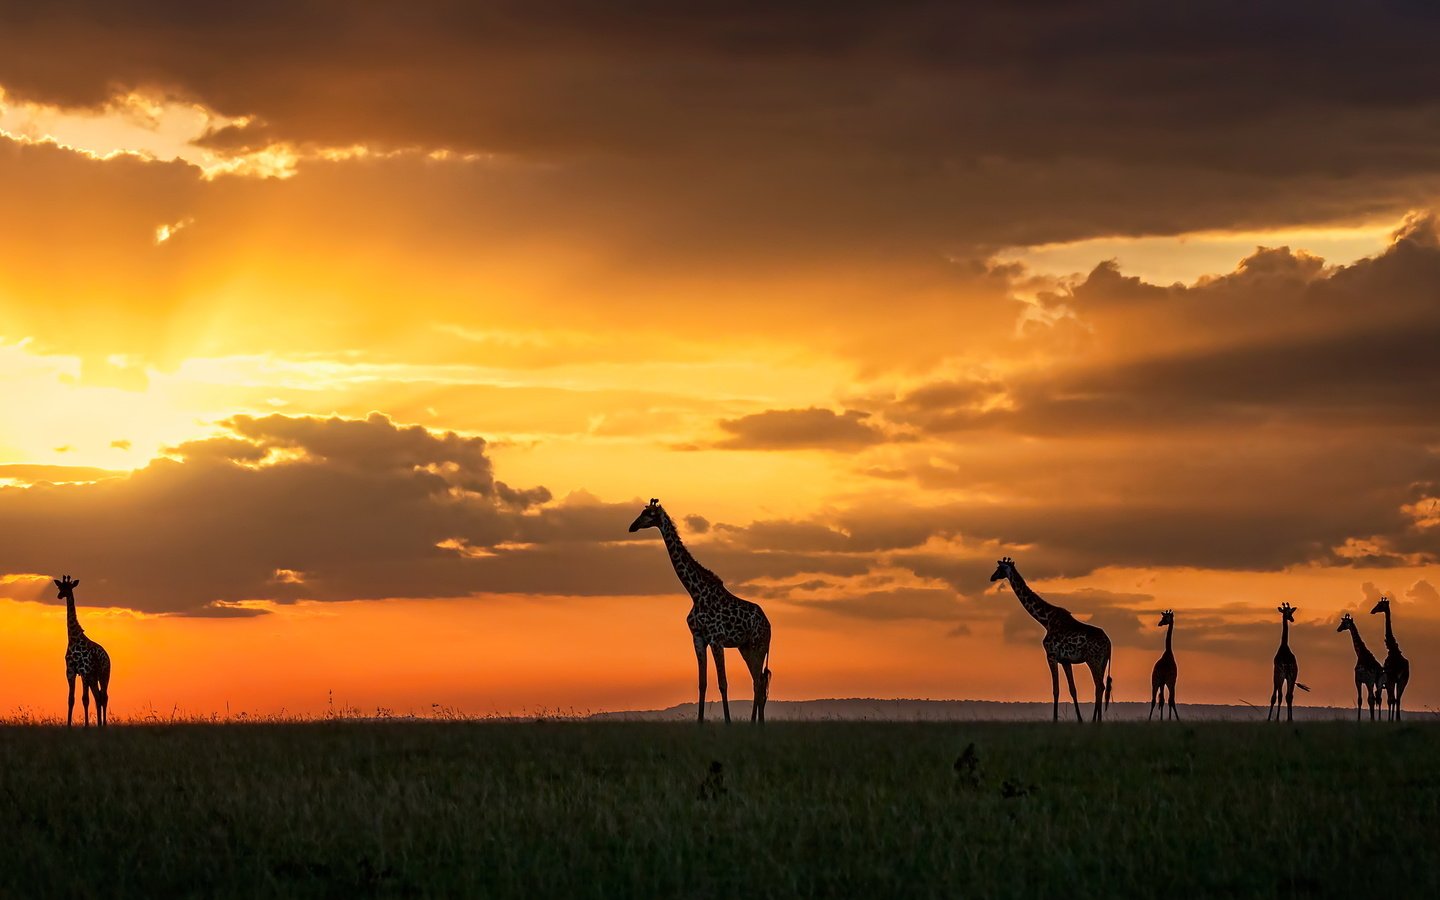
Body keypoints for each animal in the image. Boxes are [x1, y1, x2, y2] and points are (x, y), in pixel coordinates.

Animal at [54, 576, 110, 731]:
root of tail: (107, 656)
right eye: (60, 587)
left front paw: (86, 726)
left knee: (104, 696)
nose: (59, 596)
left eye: (69, 587)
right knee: (98, 696)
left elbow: (85, 699)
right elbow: (71, 699)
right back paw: (99, 724)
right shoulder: (70, 671)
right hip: (94, 677)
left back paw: (103, 724)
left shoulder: (84, 671)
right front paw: (68, 725)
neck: (73, 638)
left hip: (104, 675)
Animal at [624, 498, 771, 722]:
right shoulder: (698, 637)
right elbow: (702, 683)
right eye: (642, 512)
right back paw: (756, 724)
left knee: (759, 683)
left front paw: (728, 723)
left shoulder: (717, 639)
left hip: (758, 644)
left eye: (649, 514)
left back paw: (758, 724)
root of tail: (769, 625)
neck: (696, 592)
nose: (632, 526)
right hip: (745, 647)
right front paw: (700, 723)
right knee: (758, 681)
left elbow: (723, 683)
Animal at [990, 555, 1111, 722]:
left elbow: (1056, 690)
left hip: (1093, 659)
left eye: (999, 568)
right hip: (1102, 661)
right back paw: (1097, 721)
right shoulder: (1066, 660)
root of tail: (1109, 643)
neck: (1045, 620)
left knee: (1099, 685)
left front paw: (1055, 720)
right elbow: (1072, 689)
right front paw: (1080, 720)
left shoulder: (1051, 656)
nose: (992, 577)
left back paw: (1095, 721)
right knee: (1100, 687)